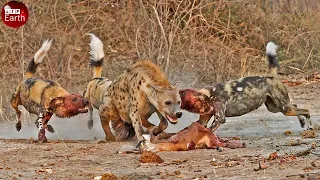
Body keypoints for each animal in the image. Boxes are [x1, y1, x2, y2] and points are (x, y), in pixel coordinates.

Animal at [179, 42, 312, 132]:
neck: (209, 95)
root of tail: (271, 77)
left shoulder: (219, 118)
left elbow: (208, 131)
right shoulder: (203, 120)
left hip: (283, 108)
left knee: (306, 110)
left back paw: (310, 126)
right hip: (275, 108)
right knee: (296, 106)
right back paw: (302, 122)